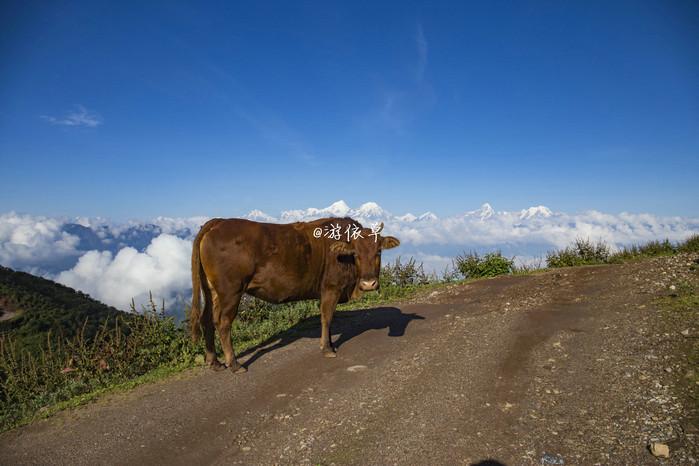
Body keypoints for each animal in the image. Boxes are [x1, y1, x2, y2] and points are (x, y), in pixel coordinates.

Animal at [191, 217, 400, 374]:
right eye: (355, 253)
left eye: (378, 251)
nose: (368, 283)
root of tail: (219, 222)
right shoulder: (331, 288)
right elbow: (327, 317)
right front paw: (327, 348)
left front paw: (330, 344)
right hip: (231, 291)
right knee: (223, 323)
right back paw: (234, 364)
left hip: (212, 291)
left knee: (207, 319)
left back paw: (214, 362)